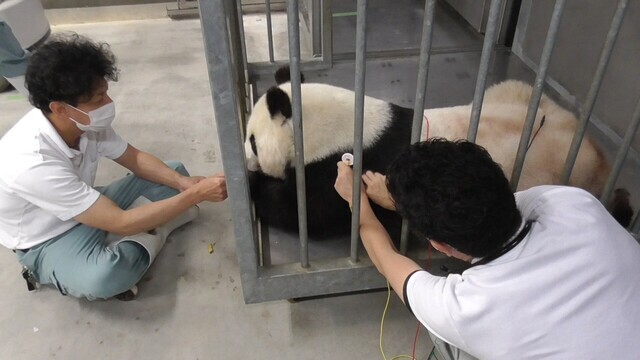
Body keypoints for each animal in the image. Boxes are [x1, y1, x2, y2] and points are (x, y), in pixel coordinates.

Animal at [244, 66, 632, 239]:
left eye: (252, 140)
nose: (246, 158)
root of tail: (598, 152)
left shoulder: (350, 159)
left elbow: (309, 211)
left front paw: (252, 183)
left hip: (566, 171)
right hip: (517, 96)